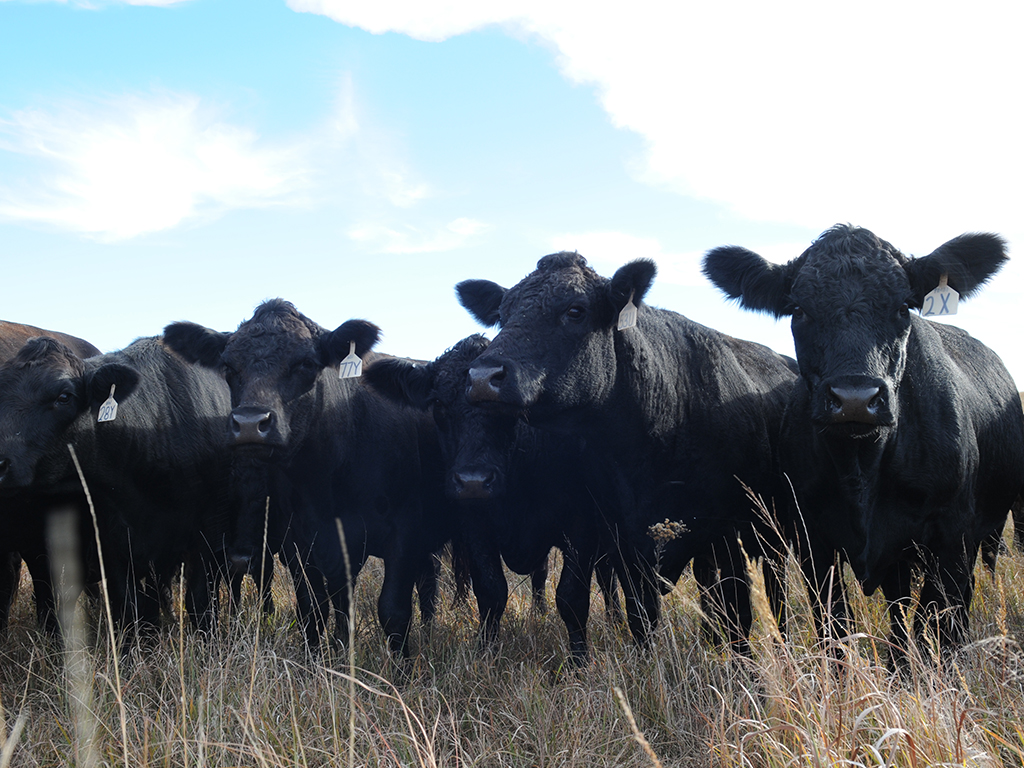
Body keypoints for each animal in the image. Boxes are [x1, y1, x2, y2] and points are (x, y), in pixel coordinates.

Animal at [163, 300, 456, 656]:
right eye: (228, 366)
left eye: (305, 362)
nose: (249, 423)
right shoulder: (299, 543)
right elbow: (312, 608)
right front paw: (319, 658)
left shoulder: (405, 531)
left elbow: (393, 611)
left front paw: (402, 668)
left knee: (427, 581)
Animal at [365, 334, 622, 663]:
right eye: (439, 404)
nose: (473, 482)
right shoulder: (475, 527)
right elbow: (491, 593)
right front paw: (486, 652)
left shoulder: (581, 526)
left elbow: (572, 597)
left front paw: (579, 661)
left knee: (604, 576)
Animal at [456, 252, 799, 653]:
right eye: (503, 313)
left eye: (575, 310)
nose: (482, 377)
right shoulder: (624, 541)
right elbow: (641, 616)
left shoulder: (729, 536)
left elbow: (739, 619)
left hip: (771, 535)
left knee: (774, 591)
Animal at [702, 224, 1024, 656]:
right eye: (798, 309)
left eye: (904, 306)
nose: (854, 398)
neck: (862, 467)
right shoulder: (814, 542)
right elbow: (836, 630)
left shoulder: (952, 537)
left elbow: (930, 627)